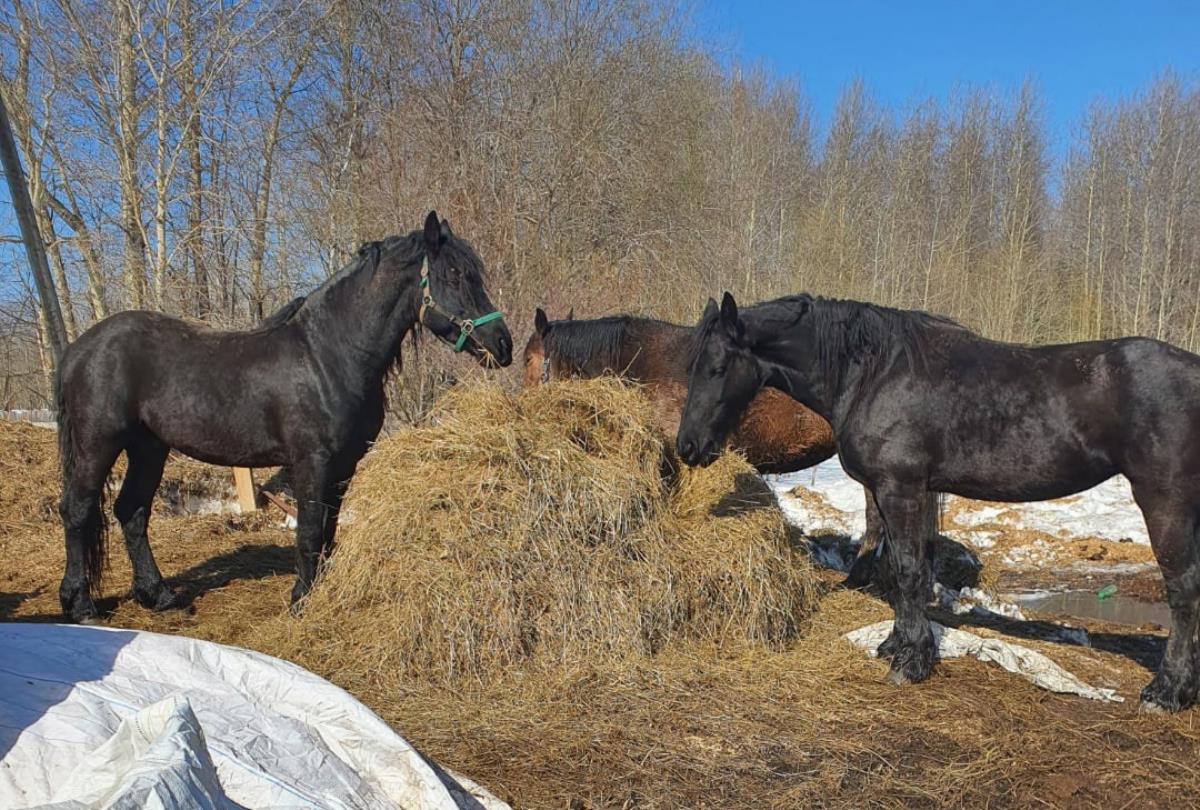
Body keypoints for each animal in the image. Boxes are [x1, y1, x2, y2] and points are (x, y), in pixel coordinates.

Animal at [58, 212, 508, 624]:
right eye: (455, 274)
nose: (503, 344)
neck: (328, 355)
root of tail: (79, 349)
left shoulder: (344, 466)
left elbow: (329, 530)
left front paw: (321, 593)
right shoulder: (312, 462)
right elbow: (309, 532)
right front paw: (301, 601)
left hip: (149, 448)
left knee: (132, 511)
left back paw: (159, 596)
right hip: (99, 445)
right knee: (78, 511)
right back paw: (81, 605)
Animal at [676, 295, 1200, 715]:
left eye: (717, 367)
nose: (688, 447)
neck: (872, 374)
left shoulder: (900, 489)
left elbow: (909, 572)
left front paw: (910, 663)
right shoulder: (899, 493)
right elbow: (901, 571)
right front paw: (896, 645)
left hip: (1163, 500)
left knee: (1183, 591)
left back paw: (1165, 693)